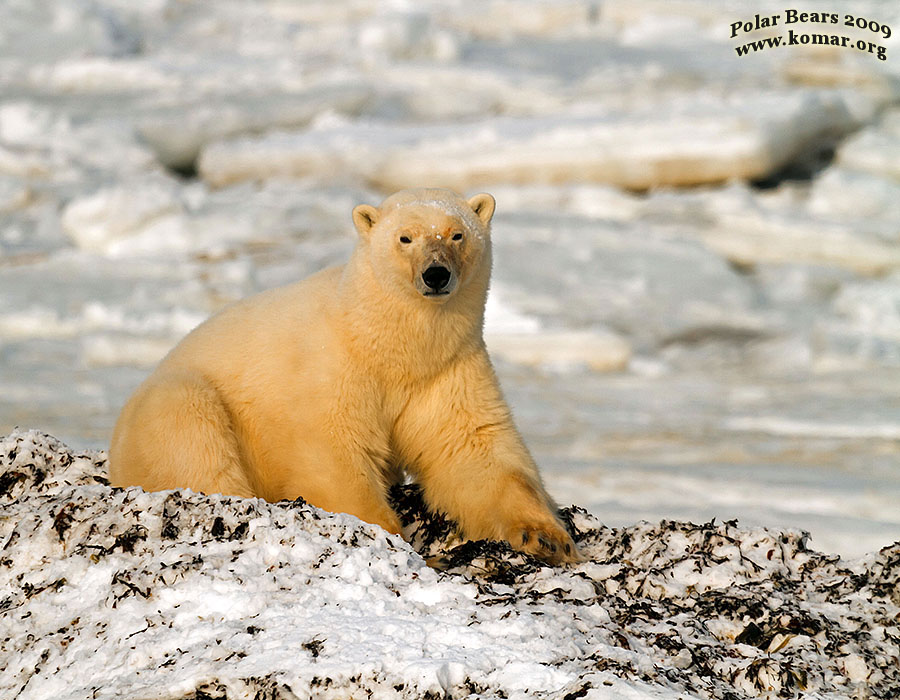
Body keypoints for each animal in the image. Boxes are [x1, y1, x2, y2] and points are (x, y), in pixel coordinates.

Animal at [109, 189, 580, 568]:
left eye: (456, 234)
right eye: (405, 238)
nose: (436, 274)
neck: (380, 340)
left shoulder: (446, 371)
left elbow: (474, 450)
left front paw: (547, 537)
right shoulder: (331, 371)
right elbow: (335, 456)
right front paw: (392, 538)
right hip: (175, 402)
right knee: (192, 430)